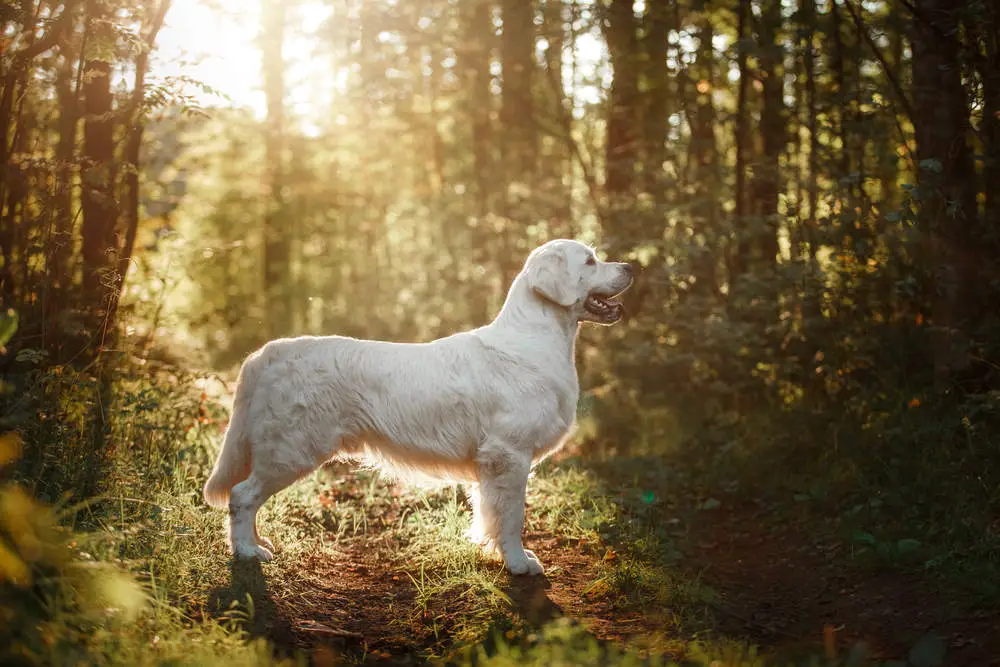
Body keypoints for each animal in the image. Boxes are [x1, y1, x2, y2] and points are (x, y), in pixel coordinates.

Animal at [203, 239, 632, 576]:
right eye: (590, 261)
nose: (631, 267)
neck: (535, 340)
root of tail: (265, 354)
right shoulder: (509, 454)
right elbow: (511, 517)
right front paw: (518, 562)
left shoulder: (491, 463)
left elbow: (489, 512)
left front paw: (491, 550)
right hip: (290, 449)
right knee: (242, 495)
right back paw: (247, 552)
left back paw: (259, 543)